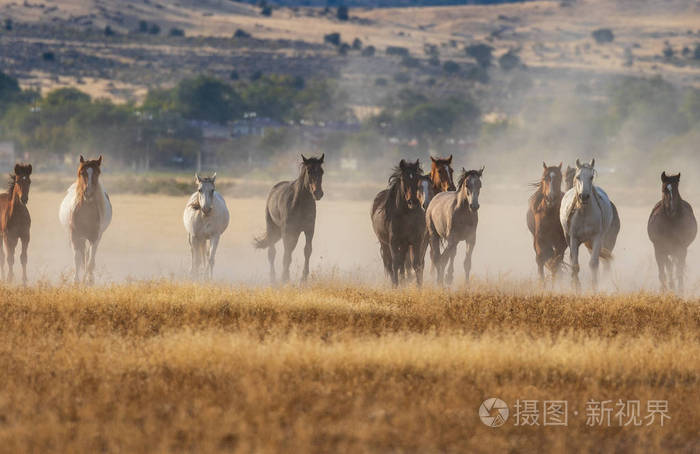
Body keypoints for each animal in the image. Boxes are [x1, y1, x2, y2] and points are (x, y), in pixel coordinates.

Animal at [58, 156, 112, 284]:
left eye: (97, 173)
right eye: (82, 173)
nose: (88, 194)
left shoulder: (94, 237)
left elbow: (90, 262)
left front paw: (89, 281)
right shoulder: (75, 236)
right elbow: (77, 259)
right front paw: (76, 281)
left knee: (88, 256)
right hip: (79, 238)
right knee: (81, 256)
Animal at [254, 154, 326, 282]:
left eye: (322, 171)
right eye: (309, 171)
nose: (318, 193)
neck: (300, 204)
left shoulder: (309, 230)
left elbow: (307, 250)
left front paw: (303, 278)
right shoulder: (287, 231)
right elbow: (286, 253)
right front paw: (284, 277)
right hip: (272, 227)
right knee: (272, 253)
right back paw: (273, 278)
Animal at [370, 160, 424, 288]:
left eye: (418, 178)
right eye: (403, 179)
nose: (413, 202)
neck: (407, 214)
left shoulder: (416, 241)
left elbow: (417, 264)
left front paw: (419, 287)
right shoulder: (393, 242)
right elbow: (395, 264)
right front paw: (395, 286)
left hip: (404, 244)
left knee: (403, 263)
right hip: (385, 244)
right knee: (390, 264)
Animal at [564, 158, 616, 290]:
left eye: (591, 177)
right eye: (578, 176)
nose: (584, 196)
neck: (584, 213)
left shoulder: (596, 238)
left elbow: (593, 263)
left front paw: (594, 286)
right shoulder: (573, 238)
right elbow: (575, 265)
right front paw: (576, 286)